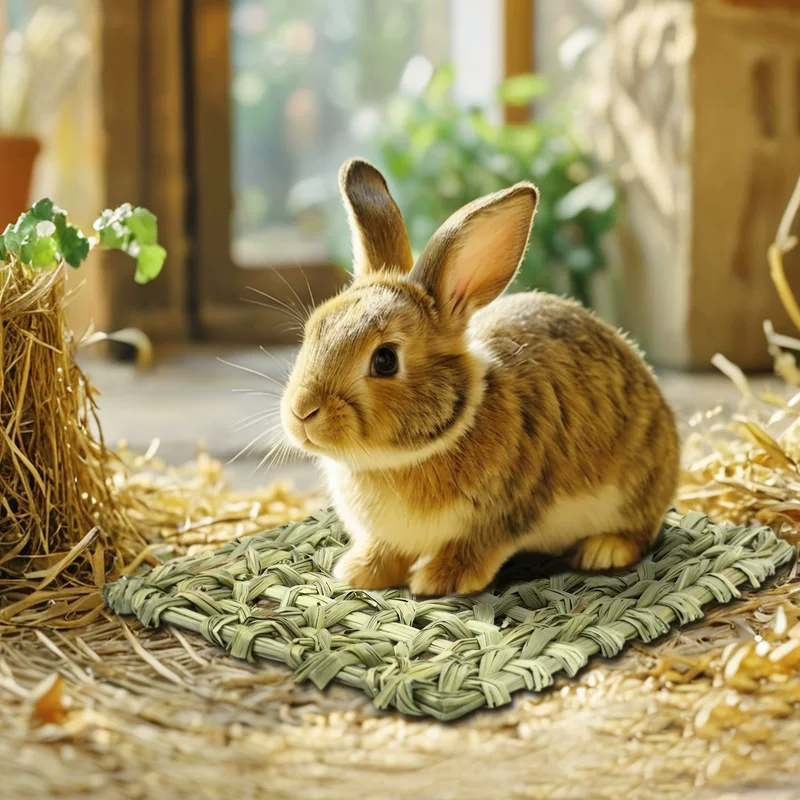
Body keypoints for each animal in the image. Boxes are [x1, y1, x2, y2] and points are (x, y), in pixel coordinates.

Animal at [280, 158, 680, 596]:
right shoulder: (388, 536)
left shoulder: (503, 515)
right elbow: (385, 551)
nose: (302, 412)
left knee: (641, 531)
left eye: (385, 360)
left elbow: (475, 548)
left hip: (636, 488)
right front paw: (359, 572)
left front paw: (438, 579)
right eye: (313, 329)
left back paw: (602, 550)